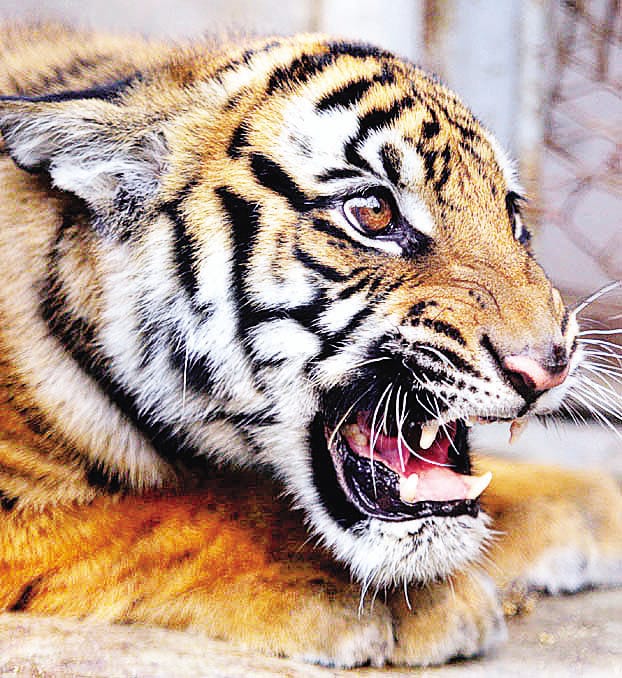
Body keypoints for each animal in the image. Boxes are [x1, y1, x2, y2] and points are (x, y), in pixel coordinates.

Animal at [0, 22, 621, 669]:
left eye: (511, 212)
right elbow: (181, 512)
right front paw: (394, 596)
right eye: (373, 213)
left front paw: (595, 502)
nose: (550, 367)